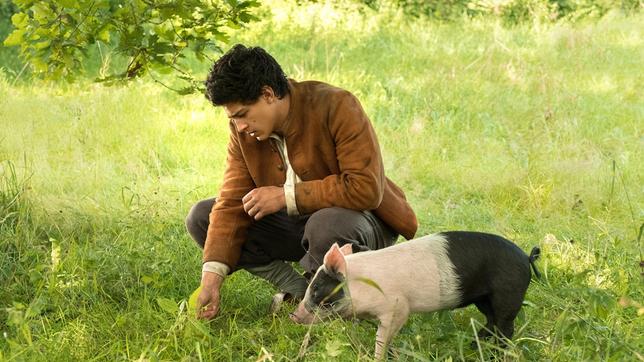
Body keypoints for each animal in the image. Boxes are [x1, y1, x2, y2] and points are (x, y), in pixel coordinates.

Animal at [290, 232, 540, 360]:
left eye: (316, 288)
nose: (294, 316)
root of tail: (526, 258)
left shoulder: (398, 308)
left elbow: (382, 337)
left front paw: (379, 356)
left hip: (508, 293)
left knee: (505, 328)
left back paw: (493, 355)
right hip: (484, 299)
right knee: (491, 321)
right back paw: (472, 346)